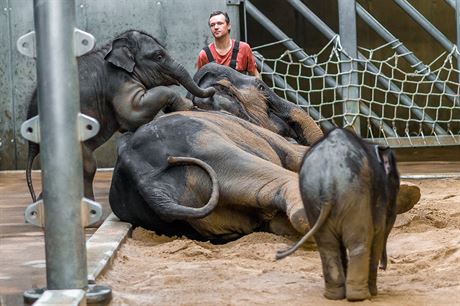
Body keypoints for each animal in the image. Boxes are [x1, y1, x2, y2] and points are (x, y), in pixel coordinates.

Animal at [26, 28, 216, 201]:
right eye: (159, 56)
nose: (213, 90)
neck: (113, 47)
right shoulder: (117, 81)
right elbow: (132, 113)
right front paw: (187, 106)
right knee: (88, 165)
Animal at [276, 127, 398, 302]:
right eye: (396, 186)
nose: (384, 267)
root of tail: (328, 181)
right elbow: (378, 233)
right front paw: (374, 292)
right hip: (354, 197)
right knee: (358, 242)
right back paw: (359, 297)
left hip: (313, 200)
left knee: (327, 245)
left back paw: (334, 295)